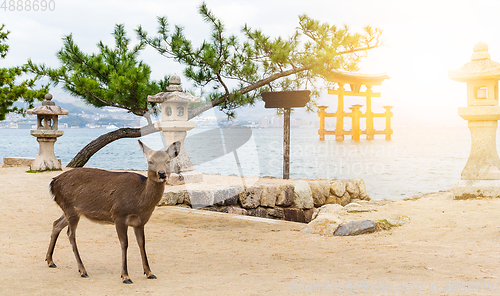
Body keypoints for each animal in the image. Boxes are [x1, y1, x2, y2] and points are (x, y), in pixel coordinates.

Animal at [45, 140, 182, 284]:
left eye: (168, 161)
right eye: (150, 161)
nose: (161, 173)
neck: (140, 202)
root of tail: (53, 183)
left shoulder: (140, 222)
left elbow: (142, 243)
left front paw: (149, 272)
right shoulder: (119, 216)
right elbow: (124, 244)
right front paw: (125, 276)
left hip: (71, 210)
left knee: (56, 224)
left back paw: (50, 261)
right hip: (70, 208)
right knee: (71, 234)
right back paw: (82, 270)